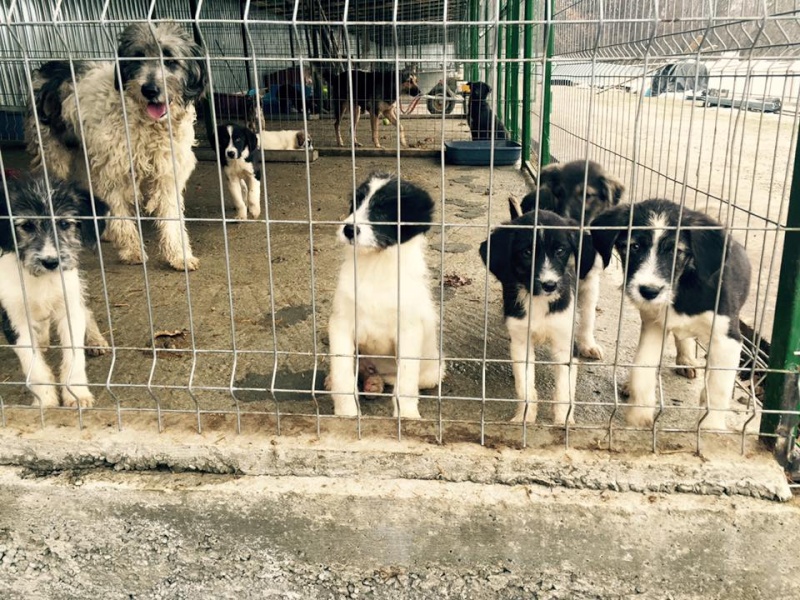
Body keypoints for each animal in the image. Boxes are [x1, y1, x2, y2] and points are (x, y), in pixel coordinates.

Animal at [27, 21, 208, 270]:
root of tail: (47, 68)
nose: (149, 90)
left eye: (170, 60)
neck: (148, 124)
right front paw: (131, 249)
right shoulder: (114, 172)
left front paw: (179, 255)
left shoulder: (168, 173)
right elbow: (121, 215)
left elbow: (172, 219)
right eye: (138, 58)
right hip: (54, 156)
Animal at [328, 171, 446, 420]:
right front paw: (346, 414)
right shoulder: (340, 324)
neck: (376, 265)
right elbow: (343, 374)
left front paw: (408, 416)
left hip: (432, 371)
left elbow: (407, 384)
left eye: (382, 211)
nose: (348, 229)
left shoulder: (409, 331)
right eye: (356, 203)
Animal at [478, 209, 596, 424]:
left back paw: (589, 343)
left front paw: (562, 422)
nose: (549, 285)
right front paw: (524, 417)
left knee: (588, 312)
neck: (539, 301)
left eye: (560, 250)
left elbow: (564, 389)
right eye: (527, 252)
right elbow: (524, 386)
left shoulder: (565, 343)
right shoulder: (520, 342)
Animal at [592, 202, 752, 432]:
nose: (649, 291)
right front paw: (639, 415)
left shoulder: (727, 338)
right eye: (633, 246)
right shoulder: (655, 325)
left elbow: (718, 388)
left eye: (676, 251)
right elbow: (642, 368)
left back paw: (687, 362)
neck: (683, 284)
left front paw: (710, 428)